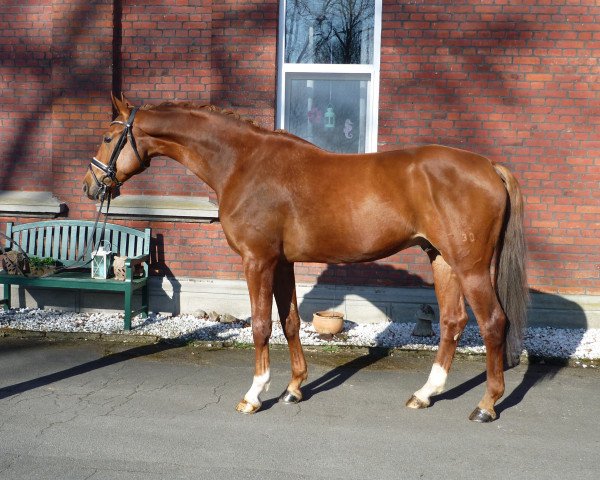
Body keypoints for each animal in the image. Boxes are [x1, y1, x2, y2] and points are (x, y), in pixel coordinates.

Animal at [83, 95, 524, 422]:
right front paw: (294, 387)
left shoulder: (257, 261)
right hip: (442, 260)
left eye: (107, 136)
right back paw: (426, 394)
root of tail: (490, 166)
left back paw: (486, 405)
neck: (242, 162)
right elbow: (291, 321)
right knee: (453, 322)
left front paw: (254, 394)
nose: (90, 186)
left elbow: (261, 325)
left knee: (492, 322)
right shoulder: (282, 263)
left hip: (470, 267)